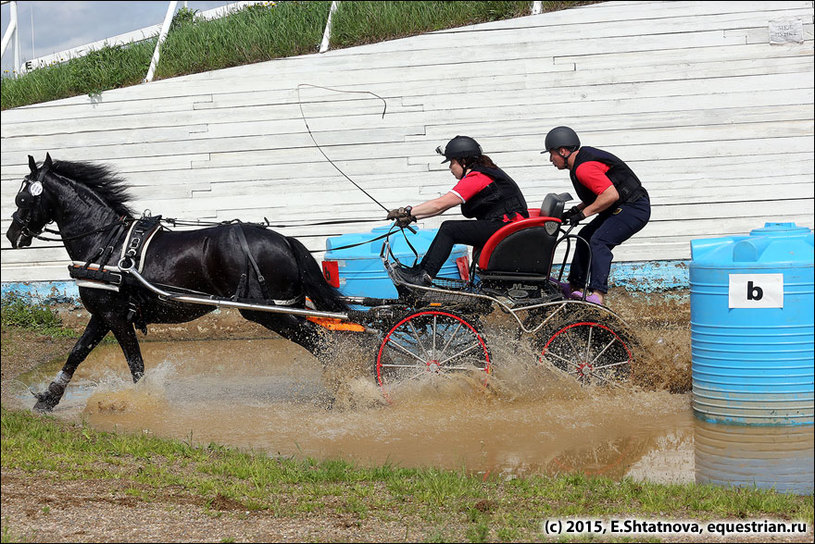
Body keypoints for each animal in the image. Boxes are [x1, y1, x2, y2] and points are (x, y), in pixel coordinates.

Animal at [6, 155, 350, 410]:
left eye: (22, 197)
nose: (12, 235)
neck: (106, 243)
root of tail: (285, 241)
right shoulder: (103, 315)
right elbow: (77, 353)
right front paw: (49, 398)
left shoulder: (116, 316)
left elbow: (135, 363)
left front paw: (143, 400)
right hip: (286, 308)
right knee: (325, 337)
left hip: (266, 312)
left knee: (322, 342)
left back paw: (345, 389)